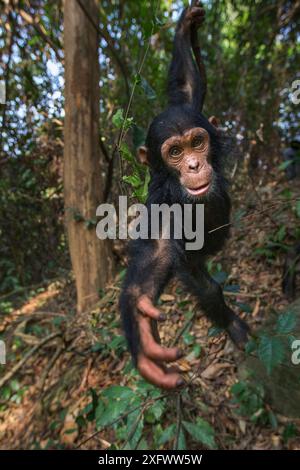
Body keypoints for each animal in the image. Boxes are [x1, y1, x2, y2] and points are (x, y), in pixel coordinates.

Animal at [119, 1, 248, 390]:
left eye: (196, 142)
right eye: (174, 152)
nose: (192, 164)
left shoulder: (191, 107)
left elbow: (188, 87)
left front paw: (183, 27)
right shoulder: (163, 207)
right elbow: (161, 257)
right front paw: (142, 333)